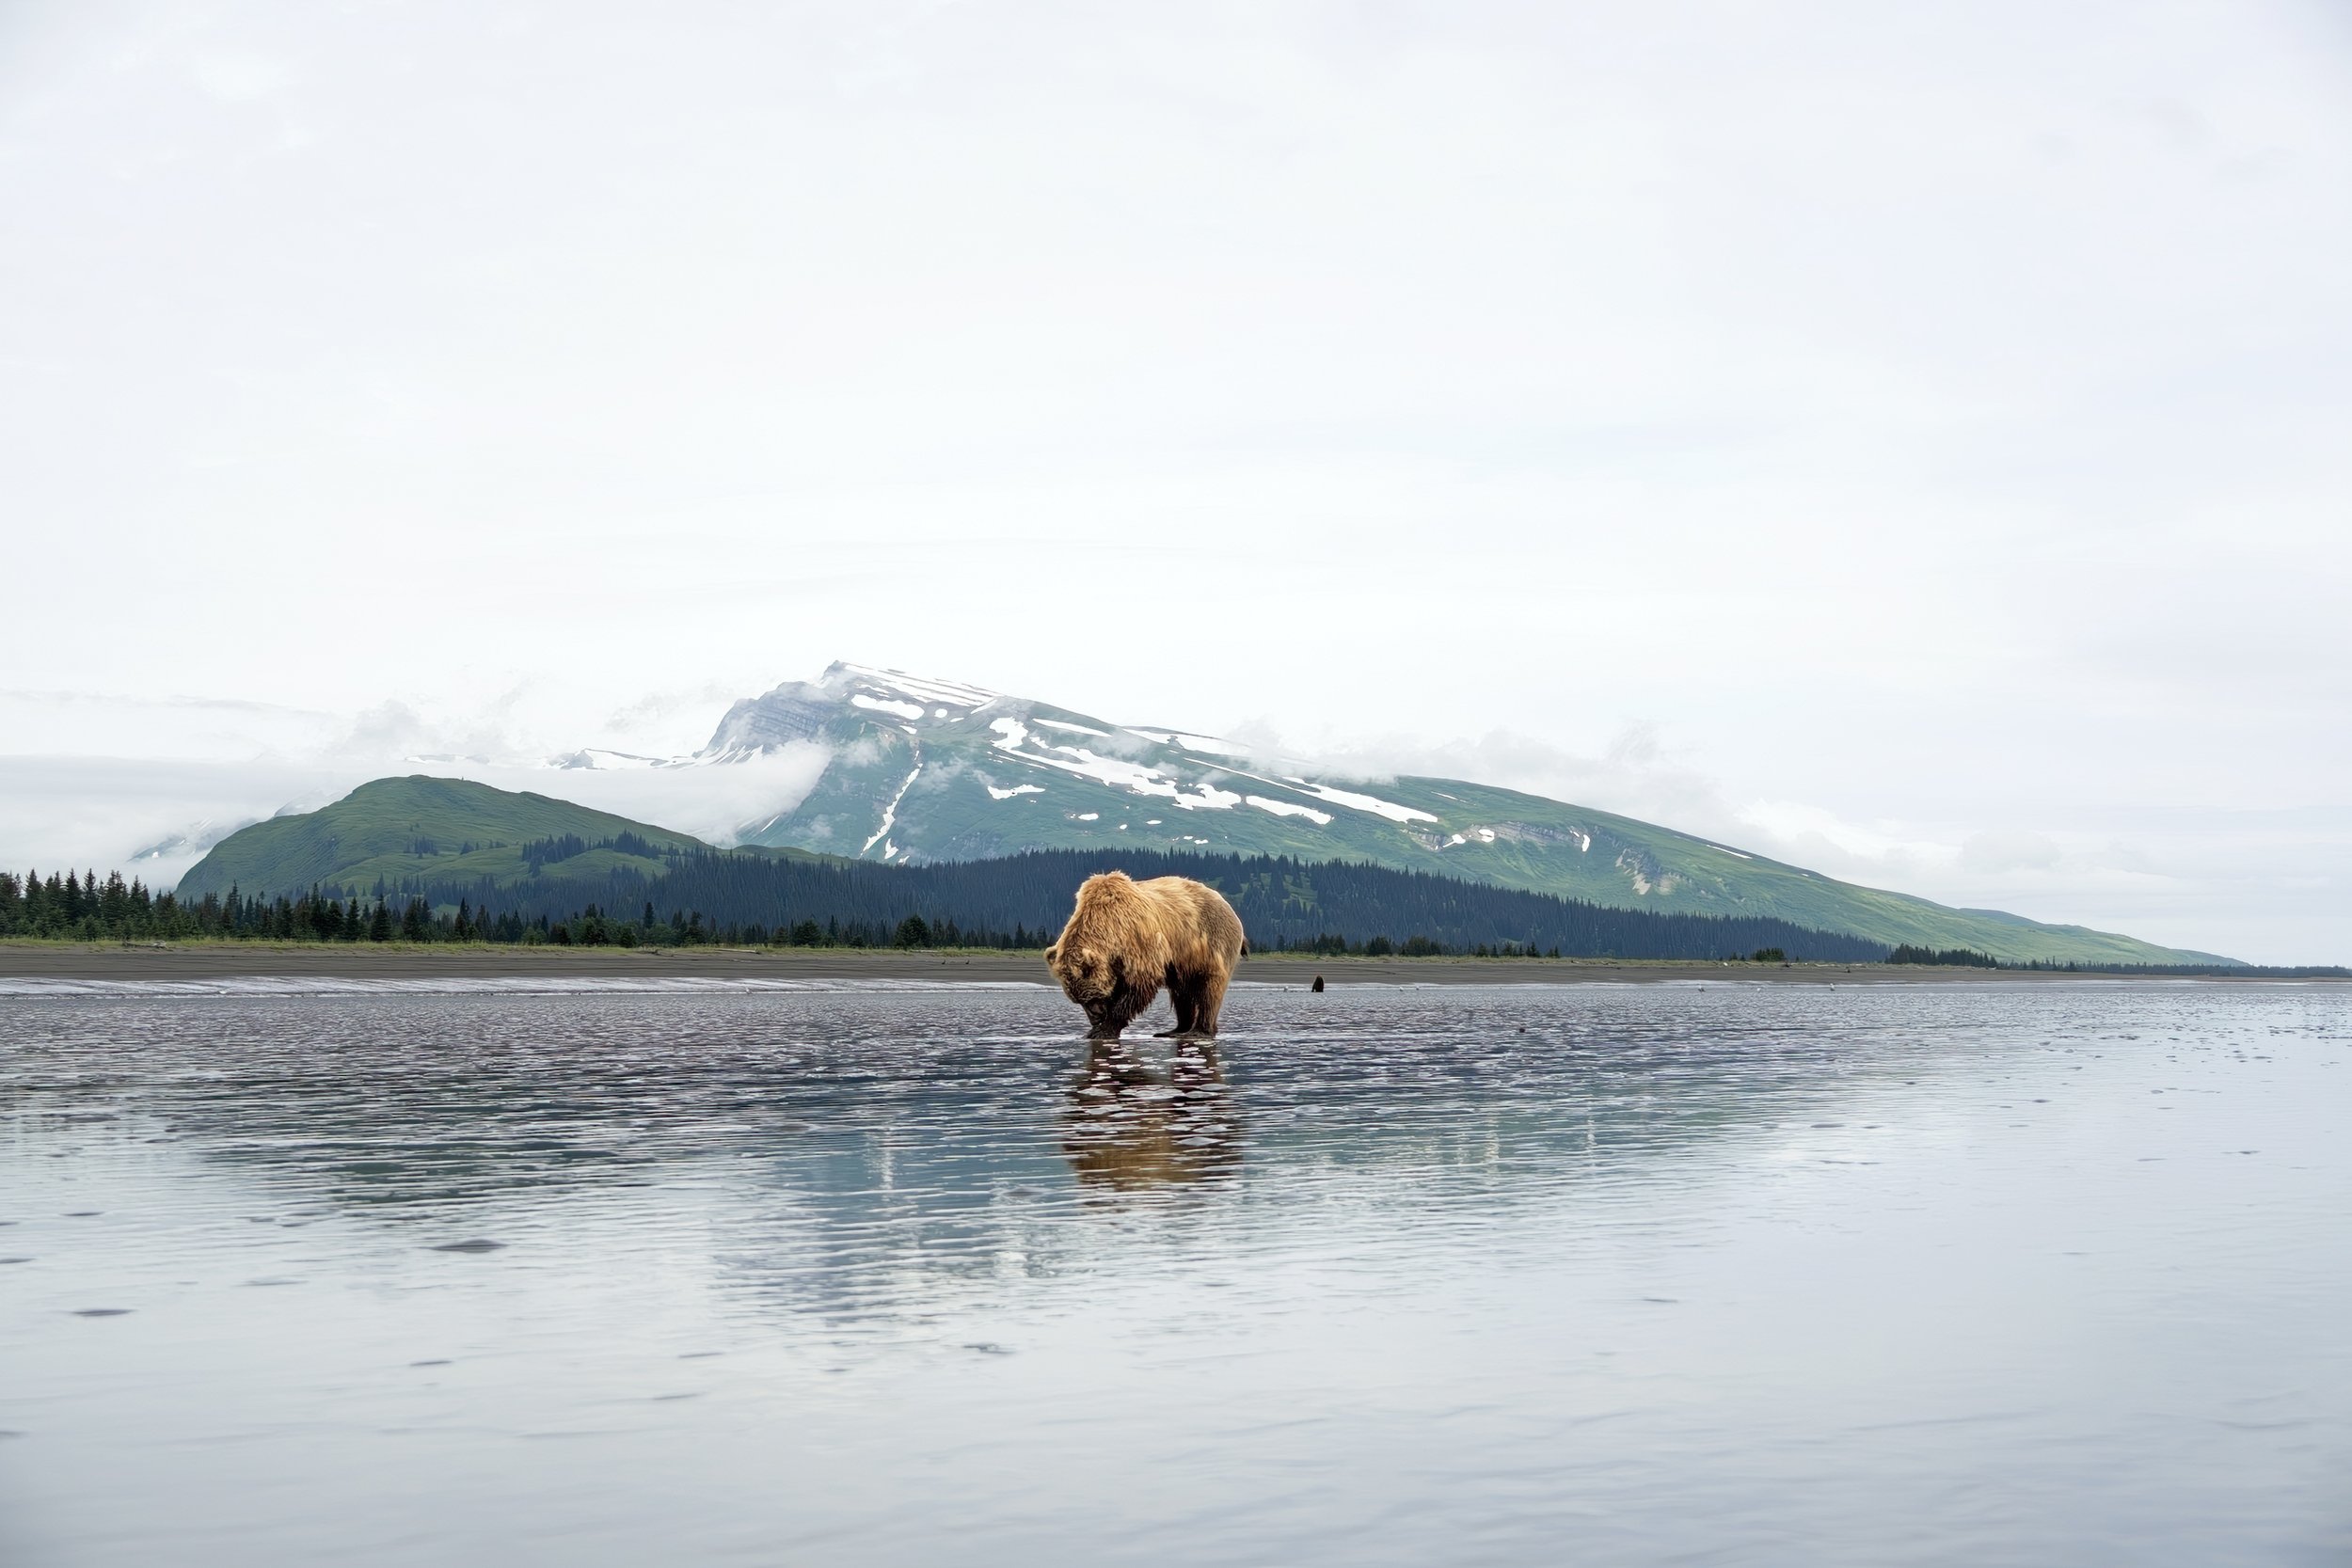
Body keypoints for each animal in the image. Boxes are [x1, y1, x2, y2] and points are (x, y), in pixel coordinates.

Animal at [1044, 871, 1246, 1041]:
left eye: (1090, 998)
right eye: (1077, 1001)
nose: (1096, 1018)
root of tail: (1227, 905)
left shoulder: (1138, 942)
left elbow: (1140, 985)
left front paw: (1102, 1030)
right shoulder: (1117, 962)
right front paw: (1097, 1028)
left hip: (1211, 941)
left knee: (1209, 988)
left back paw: (1199, 1031)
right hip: (1182, 960)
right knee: (1181, 991)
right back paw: (1174, 1030)